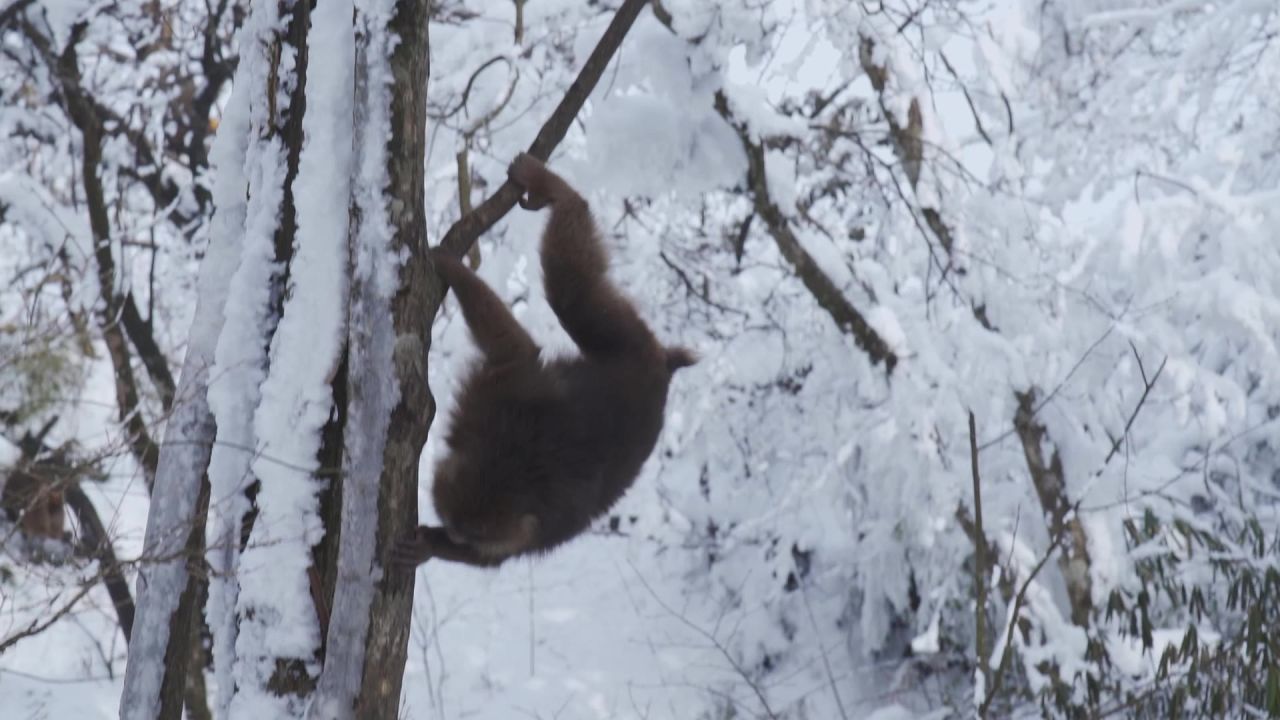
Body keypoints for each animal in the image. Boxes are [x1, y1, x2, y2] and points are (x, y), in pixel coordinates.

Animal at [389, 151, 696, 566]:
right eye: (456, 528)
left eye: (467, 536)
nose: (452, 537)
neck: (514, 464)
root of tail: (661, 366)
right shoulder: (496, 398)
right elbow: (517, 351)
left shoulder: (495, 399)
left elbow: (516, 350)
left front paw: (430, 547)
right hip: (631, 342)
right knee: (573, 296)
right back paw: (558, 194)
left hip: (632, 346)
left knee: (570, 294)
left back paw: (561, 195)